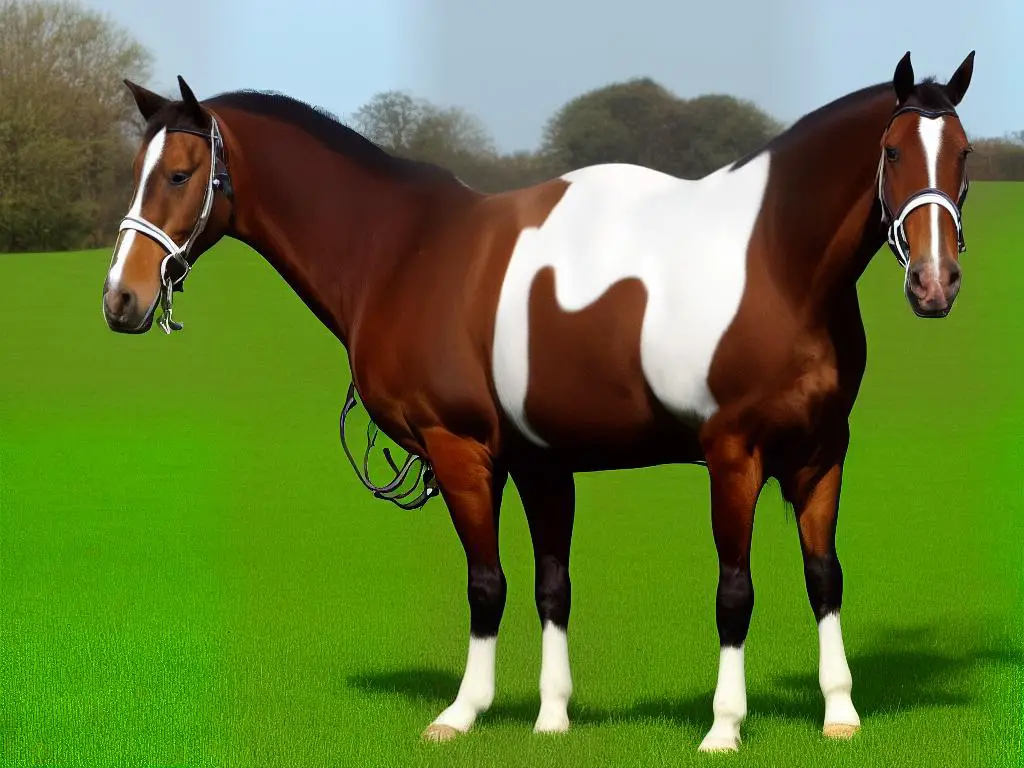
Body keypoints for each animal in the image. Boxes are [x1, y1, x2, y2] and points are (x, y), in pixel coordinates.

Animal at [101, 51, 974, 753]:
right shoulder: (540, 459)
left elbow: (790, 581)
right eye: (892, 152)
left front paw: (776, 721)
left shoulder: (797, 453)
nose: (121, 299)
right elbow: (545, 585)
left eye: (960, 154)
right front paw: (545, 717)